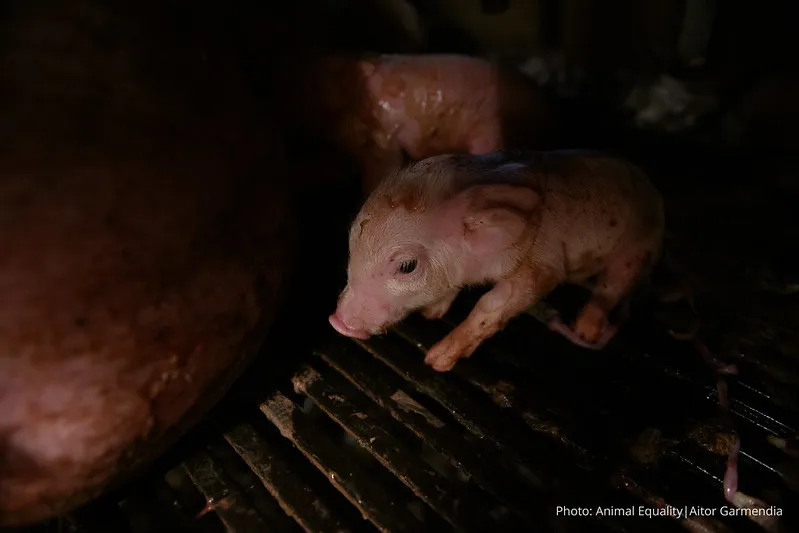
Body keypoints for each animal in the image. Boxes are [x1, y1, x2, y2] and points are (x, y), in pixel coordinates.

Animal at [328, 150, 665, 372]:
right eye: (351, 241)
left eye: (407, 266)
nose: (338, 322)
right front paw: (431, 315)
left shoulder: (543, 264)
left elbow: (493, 304)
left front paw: (435, 361)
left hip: (636, 249)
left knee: (612, 287)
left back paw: (584, 330)